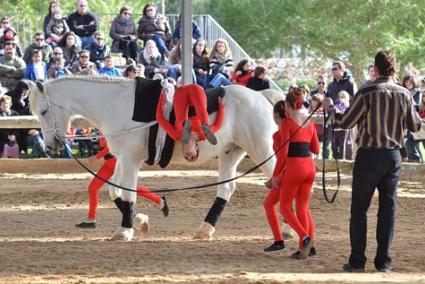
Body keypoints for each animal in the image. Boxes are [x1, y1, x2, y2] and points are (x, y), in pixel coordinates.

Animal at [28, 76, 284, 241]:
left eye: (43, 111)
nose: (50, 145)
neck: (117, 105)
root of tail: (262, 96)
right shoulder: (121, 158)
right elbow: (115, 191)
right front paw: (140, 221)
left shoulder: (129, 159)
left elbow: (128, 193)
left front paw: (124, 231)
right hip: (231, 153)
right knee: (226, 190)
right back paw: (204, 229)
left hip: (262, 150)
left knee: (278, 180)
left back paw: (289, 231)